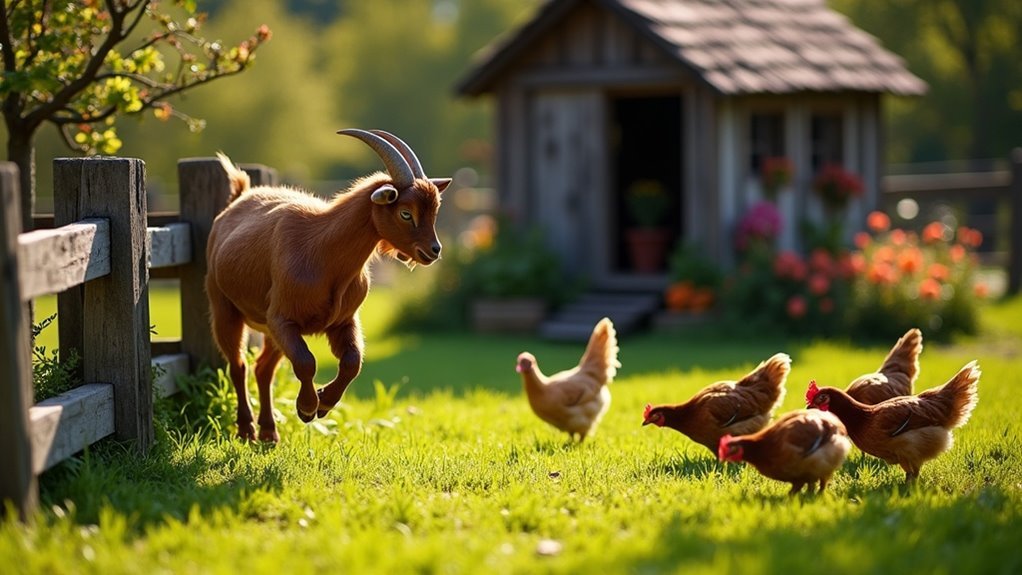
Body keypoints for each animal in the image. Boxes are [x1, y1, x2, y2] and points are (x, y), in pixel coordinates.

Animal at [206, 129, 450, 442]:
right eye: (405, 213)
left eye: (435, 212)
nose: (433, 251)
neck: (322, 252)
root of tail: (239, 197)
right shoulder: (282, 318)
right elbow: (306, 362)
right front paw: (307, 408)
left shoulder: (343, 321)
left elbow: (352, 362)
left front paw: (324, 403)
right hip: (224, 308)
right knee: (239, 366)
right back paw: (247, 429)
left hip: (269, 329)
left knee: (263, 370)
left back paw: (269, 432)